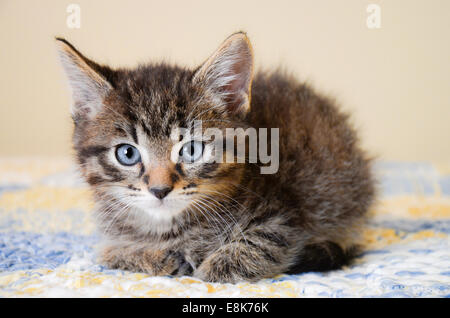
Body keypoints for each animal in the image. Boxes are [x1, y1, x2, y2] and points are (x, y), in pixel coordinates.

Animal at [56, 32, 374, 284]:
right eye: (127, 153)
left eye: (191, 150)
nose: (159, 190)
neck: (169, 228)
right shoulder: (111, 236)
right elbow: (110, 253)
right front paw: (158, 258)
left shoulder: (283, 217)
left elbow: (259, 244)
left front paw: (211, 269)